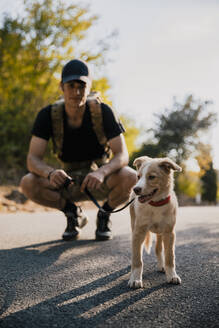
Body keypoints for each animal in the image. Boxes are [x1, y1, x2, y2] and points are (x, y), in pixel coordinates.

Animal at [127, 156, 182, 288]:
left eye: (151, 177)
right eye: (138, 176)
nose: (136, 189)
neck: (156, 205)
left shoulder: (169, 233)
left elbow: (170, 257)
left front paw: (172, 276)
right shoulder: (138, 232)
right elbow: (137, 259)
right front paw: (135, 278)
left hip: (160, 232)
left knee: (158, 248)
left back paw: (161, 266)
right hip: (134, 225)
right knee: (138, 249)